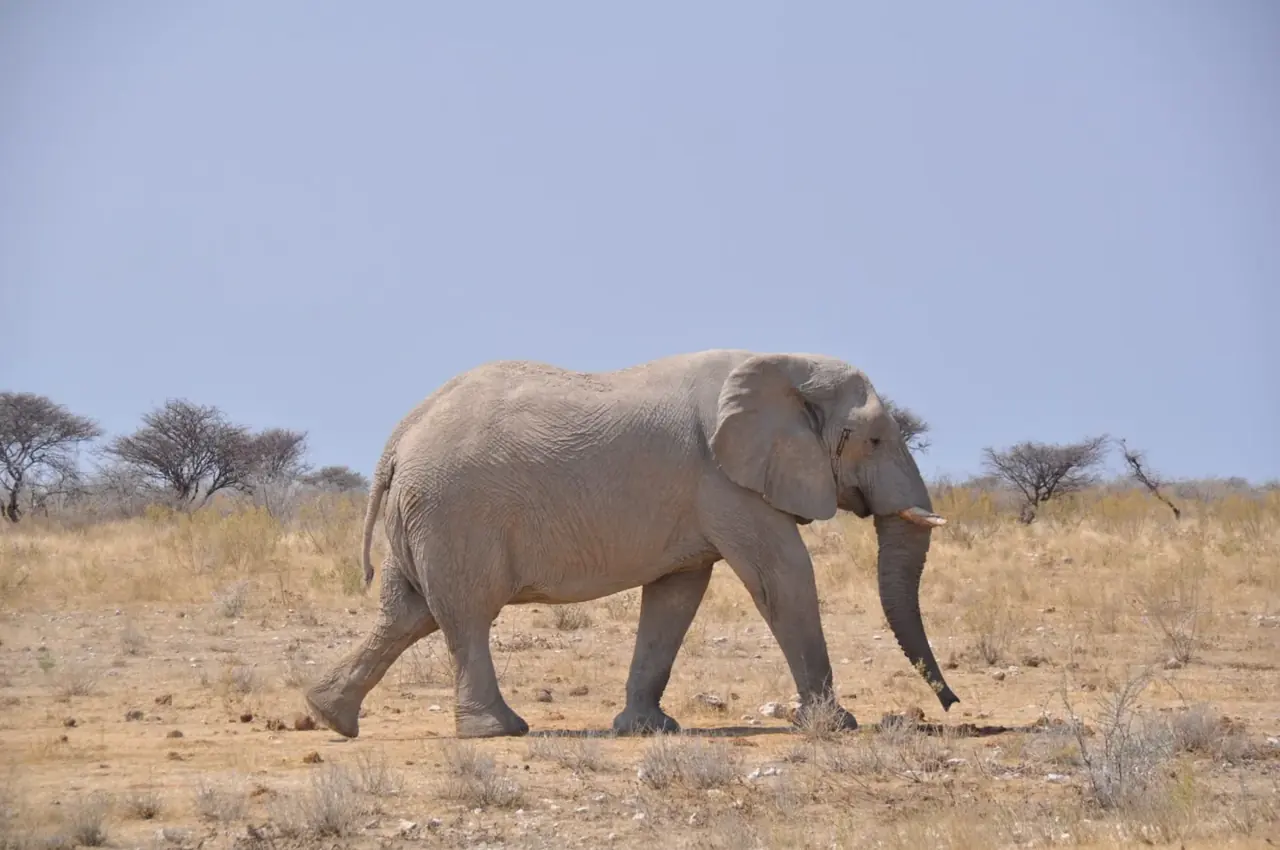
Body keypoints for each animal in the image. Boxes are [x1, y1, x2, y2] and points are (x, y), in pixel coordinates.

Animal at [304, 349, 958, 739]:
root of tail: (398, 437)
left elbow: (676, 596)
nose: (950, 706)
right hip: (452, 513)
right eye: (874, 440)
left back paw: (329, 716)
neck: (784, 365)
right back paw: (500, 731)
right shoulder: (724, 479)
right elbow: (783, 577)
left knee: (407, 614)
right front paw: (838, 725)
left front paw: (647, 730)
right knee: (464, 615)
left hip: (421, 517)